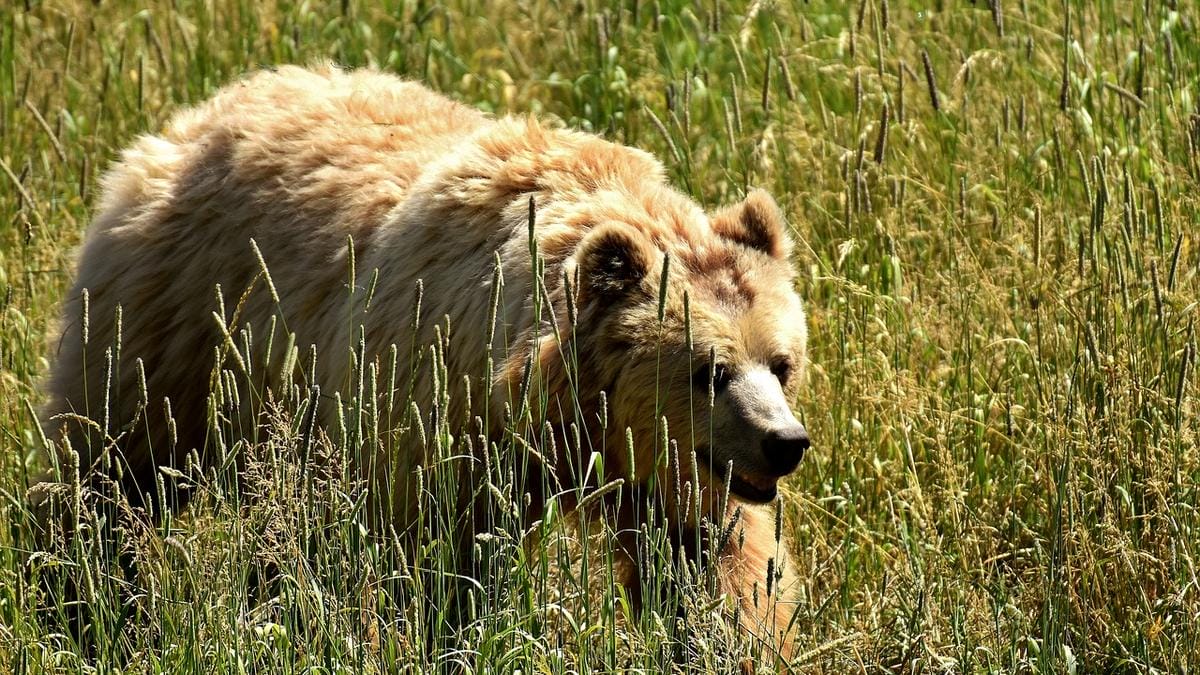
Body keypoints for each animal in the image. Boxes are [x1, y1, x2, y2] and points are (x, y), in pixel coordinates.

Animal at [44, 64, 816, 658]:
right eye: (709, 370)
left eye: (780, 362)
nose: (785, 442)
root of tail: (202, 112)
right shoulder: (434, 411)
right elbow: (432, 560)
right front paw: (440, 633)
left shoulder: (676, 476)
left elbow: (714, 564)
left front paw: (732, 640)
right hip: (174, 325)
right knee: (112, 474)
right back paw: (86, 603)